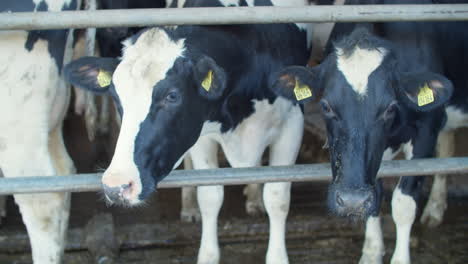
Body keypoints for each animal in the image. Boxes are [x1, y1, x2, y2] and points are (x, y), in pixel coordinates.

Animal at [61, 1, 310, 262]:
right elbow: (210, 196)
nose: (116, 186)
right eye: (116, 95)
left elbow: (277, 196)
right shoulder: (202, 135)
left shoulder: (293, 123)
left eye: (172, 96)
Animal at [270, 1, 468, 262]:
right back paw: (435, 208)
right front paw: (372, 252)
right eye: (326, 106)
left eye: (390, 107)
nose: (352, 201)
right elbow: (377, 197)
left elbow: (403, 204)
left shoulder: (427, 130)